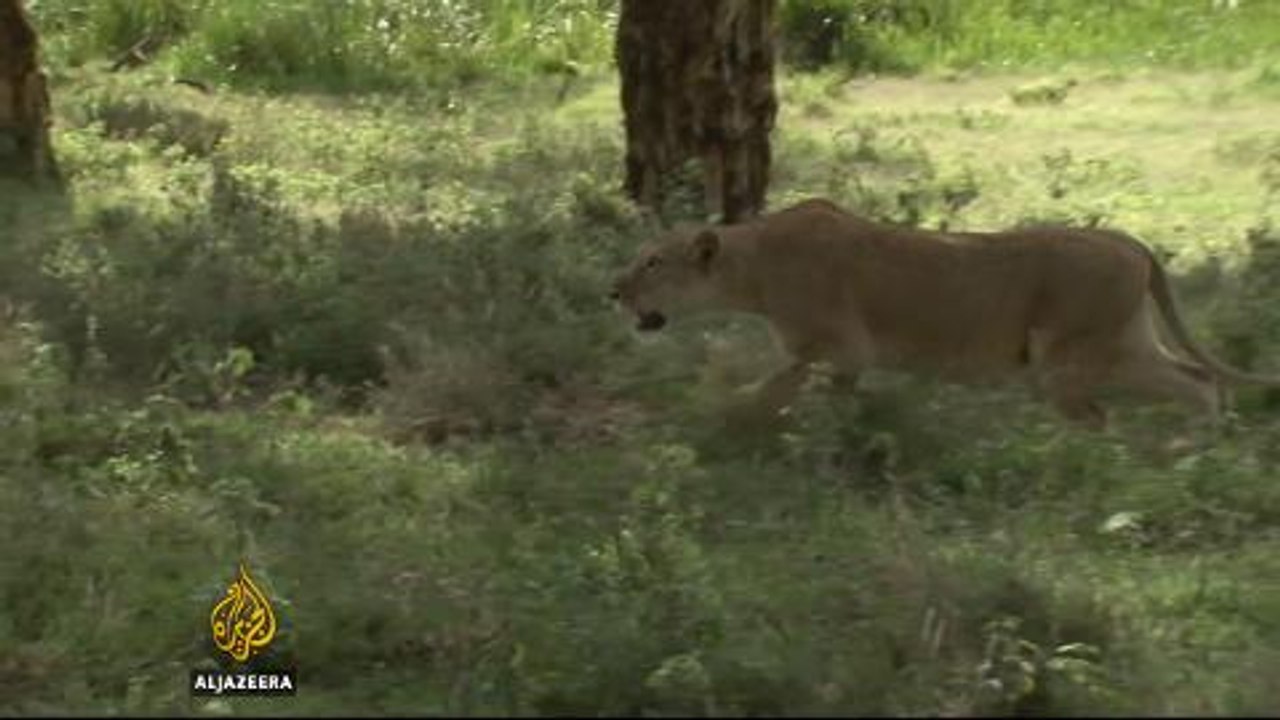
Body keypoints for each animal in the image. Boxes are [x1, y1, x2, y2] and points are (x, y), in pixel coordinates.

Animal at [610, 198, 1280, 429]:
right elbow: (815, 394)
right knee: (1198, 379)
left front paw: (722, 417)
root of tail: (1128, 240)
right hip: (1124, 344)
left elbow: (773, 388)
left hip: (1076, 359)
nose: (612, 291)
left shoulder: (836, 345)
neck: (753, 263)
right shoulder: (838, 357)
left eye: (652, 263)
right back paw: (1194, 453)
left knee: (1110, 414)